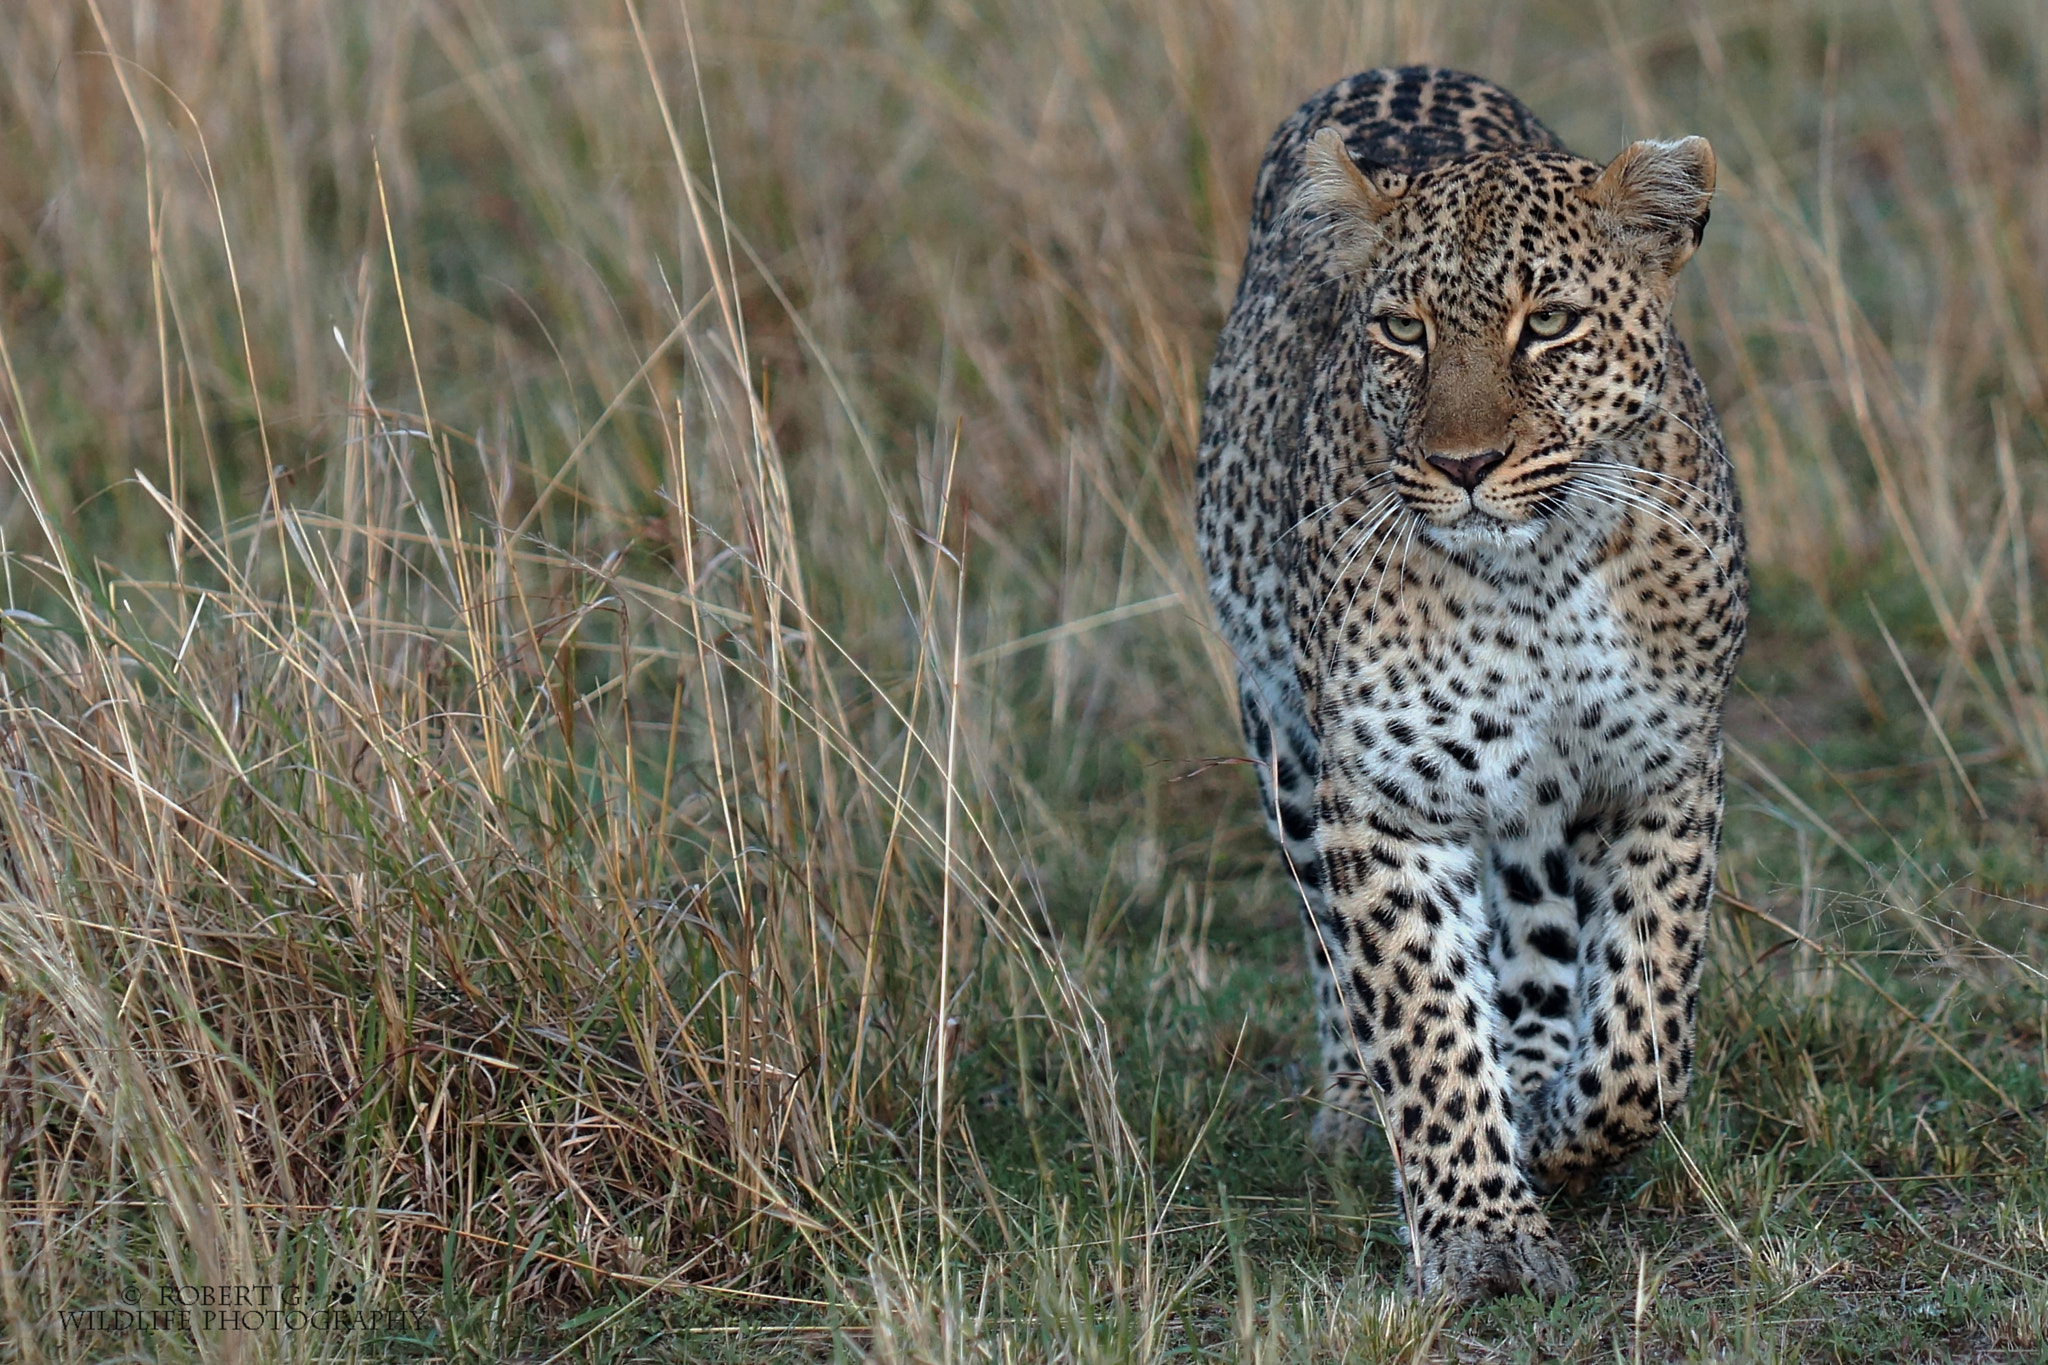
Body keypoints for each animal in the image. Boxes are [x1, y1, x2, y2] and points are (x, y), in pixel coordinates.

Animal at [1196, 66, 1744, 1301]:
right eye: (1402, 330)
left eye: (1548, 324)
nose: (1462, 466)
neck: (1535, 574)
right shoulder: (1385, 797)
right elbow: (1422, 1017)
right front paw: (1480, 1230)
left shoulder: (1663, 774)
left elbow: (1644, 1035)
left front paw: (1556, 1133)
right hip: (1284, 740)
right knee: (1336, 955)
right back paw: (1357, 1111)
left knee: (1540, 942)